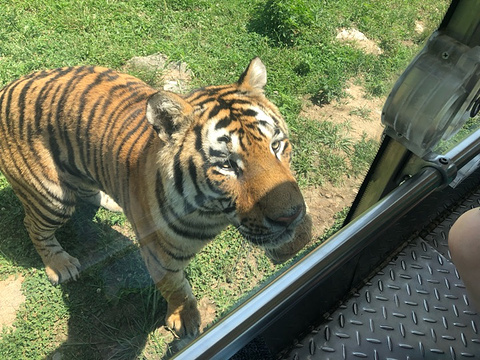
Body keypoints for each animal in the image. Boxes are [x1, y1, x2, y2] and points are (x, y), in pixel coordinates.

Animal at [0, 57, 312, 336]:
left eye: (276, 145)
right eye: (226, 165)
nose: (291, 216)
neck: (213, 213)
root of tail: (8, 87)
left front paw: (298, 238)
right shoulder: (158, 253)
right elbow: (175, 288)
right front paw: (184, 319)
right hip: (52, 197)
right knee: (34, 226)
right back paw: (60, 265)